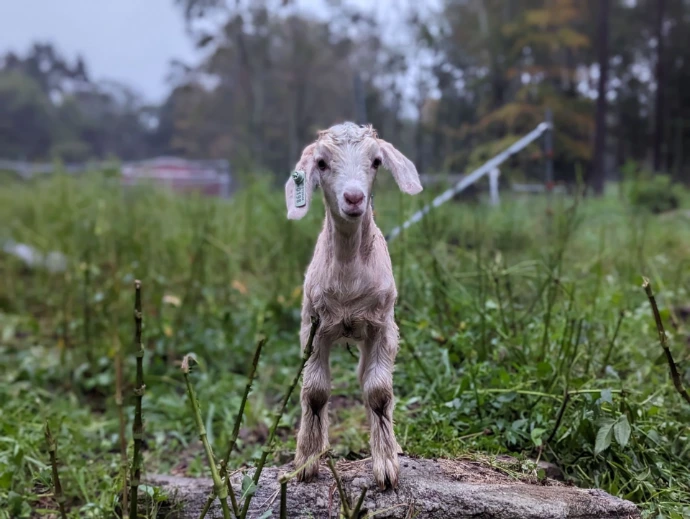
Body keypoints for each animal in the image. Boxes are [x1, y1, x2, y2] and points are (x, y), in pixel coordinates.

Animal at [284, 122, 422, 489]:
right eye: (321, 163)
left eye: (376, 161)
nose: (354, 198)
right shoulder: (313, 328)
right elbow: (315, 392)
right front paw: (306, 461)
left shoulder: (383, 326)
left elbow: (378, 392)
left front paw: (386, 467)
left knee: (365, 378)